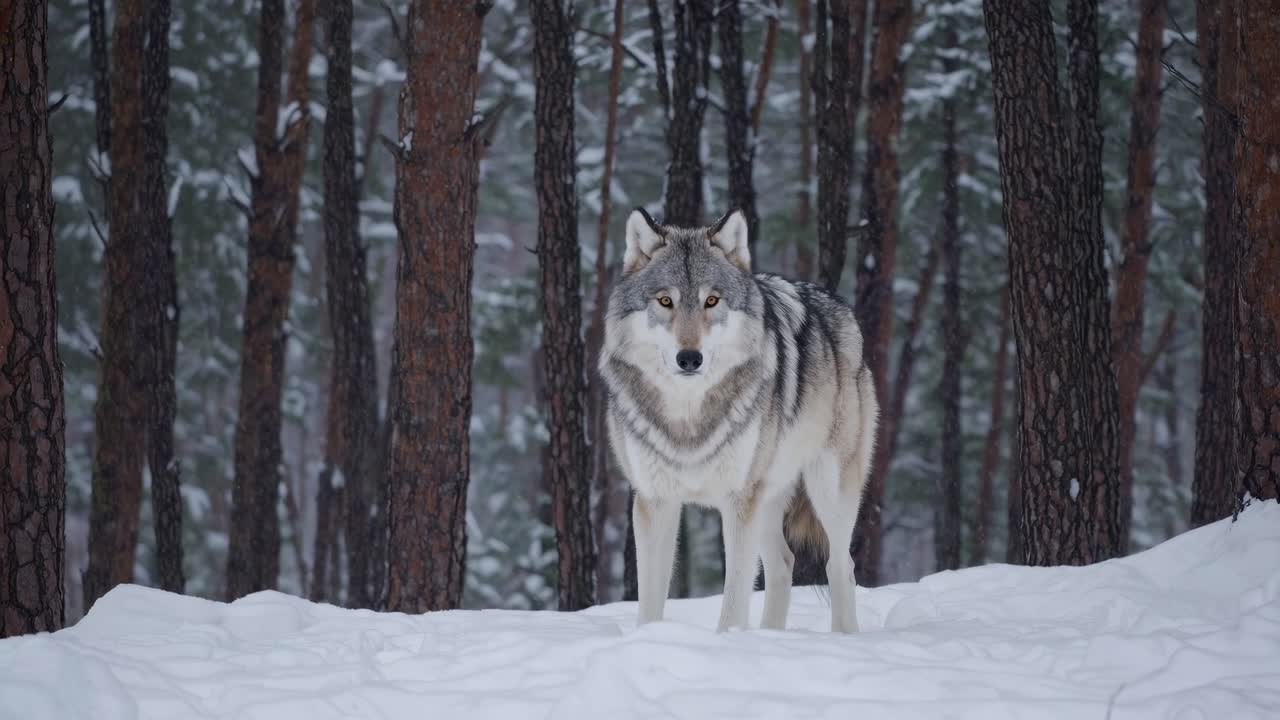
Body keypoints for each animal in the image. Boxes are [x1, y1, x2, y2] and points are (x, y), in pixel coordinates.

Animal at [599, 207, 880, 633]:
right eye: (665, 300)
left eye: (711, 300)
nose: (689, 358)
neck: (689, 417)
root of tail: (839, 306)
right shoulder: (654, 501)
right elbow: (650, 600)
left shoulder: (738, 502)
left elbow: (734, 597)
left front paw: (728, 639)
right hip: (769, 498)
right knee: (783, 565)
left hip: (827, 489)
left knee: (840, 565)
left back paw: (844, 637)